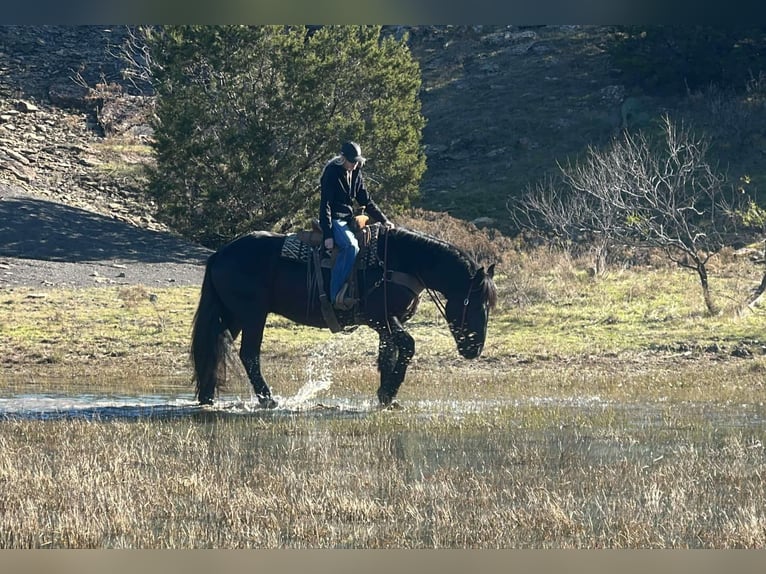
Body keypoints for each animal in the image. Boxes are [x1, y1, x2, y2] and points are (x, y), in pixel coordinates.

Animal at [190, 224, 497, 408]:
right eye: (473, 302)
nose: (475, 349)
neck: (401, 262)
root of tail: (219, 254)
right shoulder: (381, 318)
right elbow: (407, 346)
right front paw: (389, 393)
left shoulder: (385, 324)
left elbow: (387, 354)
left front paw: (385, 397)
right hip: (253, 314)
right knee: (249, 354)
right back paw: (268, 400)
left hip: (233, 315)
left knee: (214, 348)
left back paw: (207, 397)